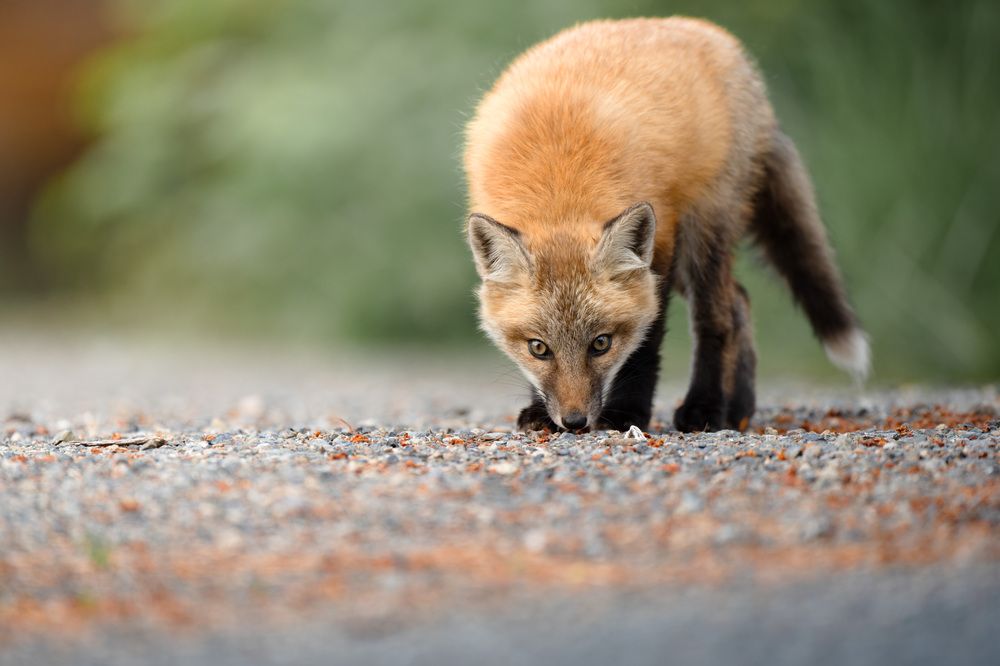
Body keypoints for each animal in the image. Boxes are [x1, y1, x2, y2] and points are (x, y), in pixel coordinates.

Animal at [463, 17, 869, 433]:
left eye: (601, 344)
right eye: (538, 348)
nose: (575, 422)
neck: (559, 185)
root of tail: (714, 35)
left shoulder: (662, 243)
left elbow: (646, 343)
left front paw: (628, 414)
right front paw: (539, 413)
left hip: (702, 231)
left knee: (718, 316)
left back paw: (706, 407)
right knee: (740, 299)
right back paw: (740, 407)